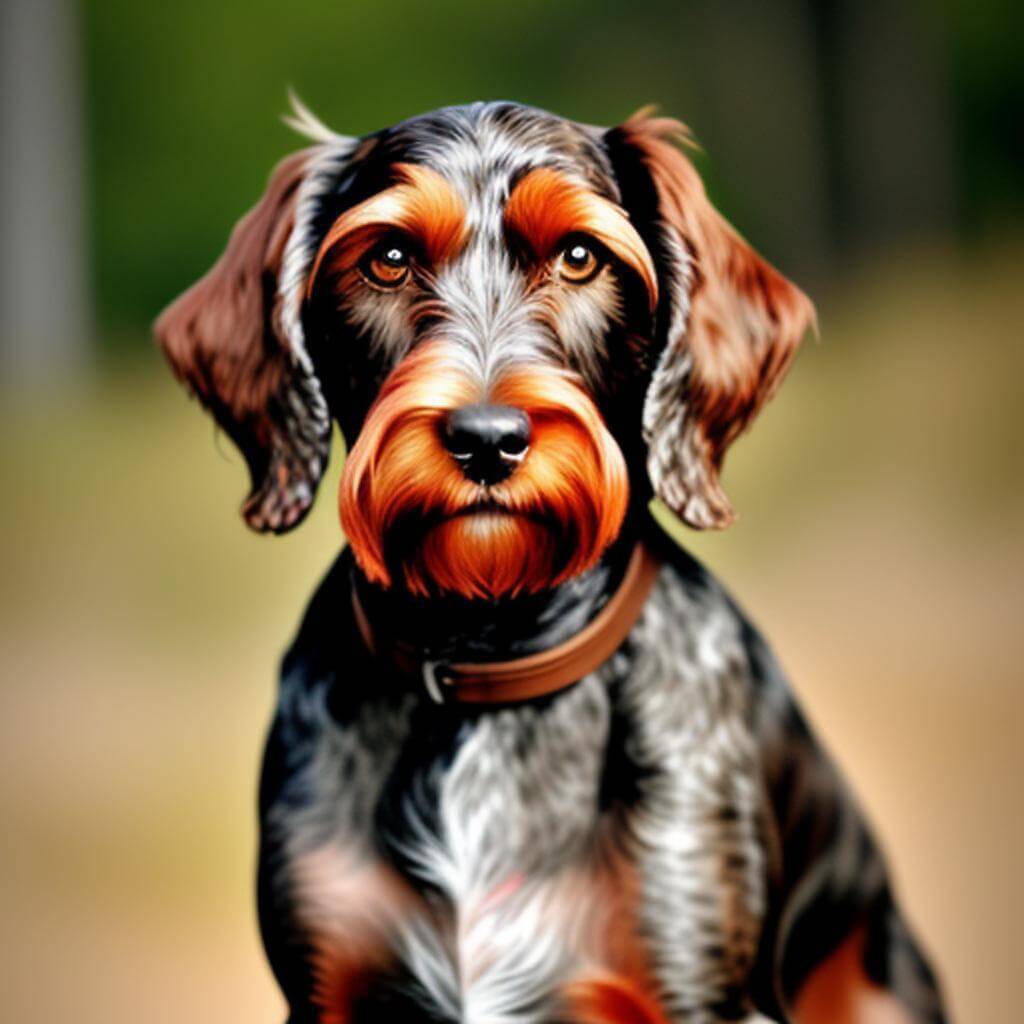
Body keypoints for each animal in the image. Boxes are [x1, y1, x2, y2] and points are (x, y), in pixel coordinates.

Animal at [153, 97, 942, 1024]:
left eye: (579, 256)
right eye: (387, 259)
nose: (487, 439)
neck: (485, 666)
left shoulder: (693, 964)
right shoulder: (327, 975)